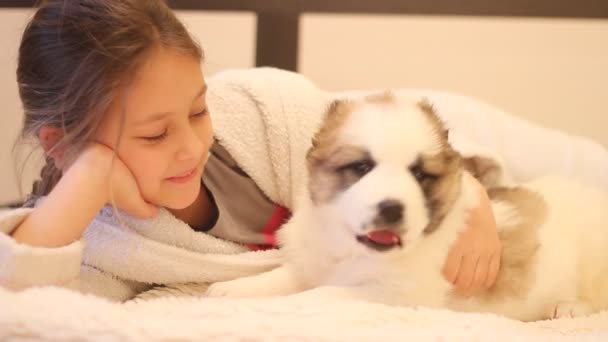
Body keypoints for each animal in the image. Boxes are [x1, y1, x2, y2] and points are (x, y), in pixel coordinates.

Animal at [208, 93, 608, 320]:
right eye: (361, 167)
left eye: (419, 174)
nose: (392, 209)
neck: (351, 250)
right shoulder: (314, 261)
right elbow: (287, 277)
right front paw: (230, 291)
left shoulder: (391, 294)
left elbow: (321, 293)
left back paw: (570, 308)